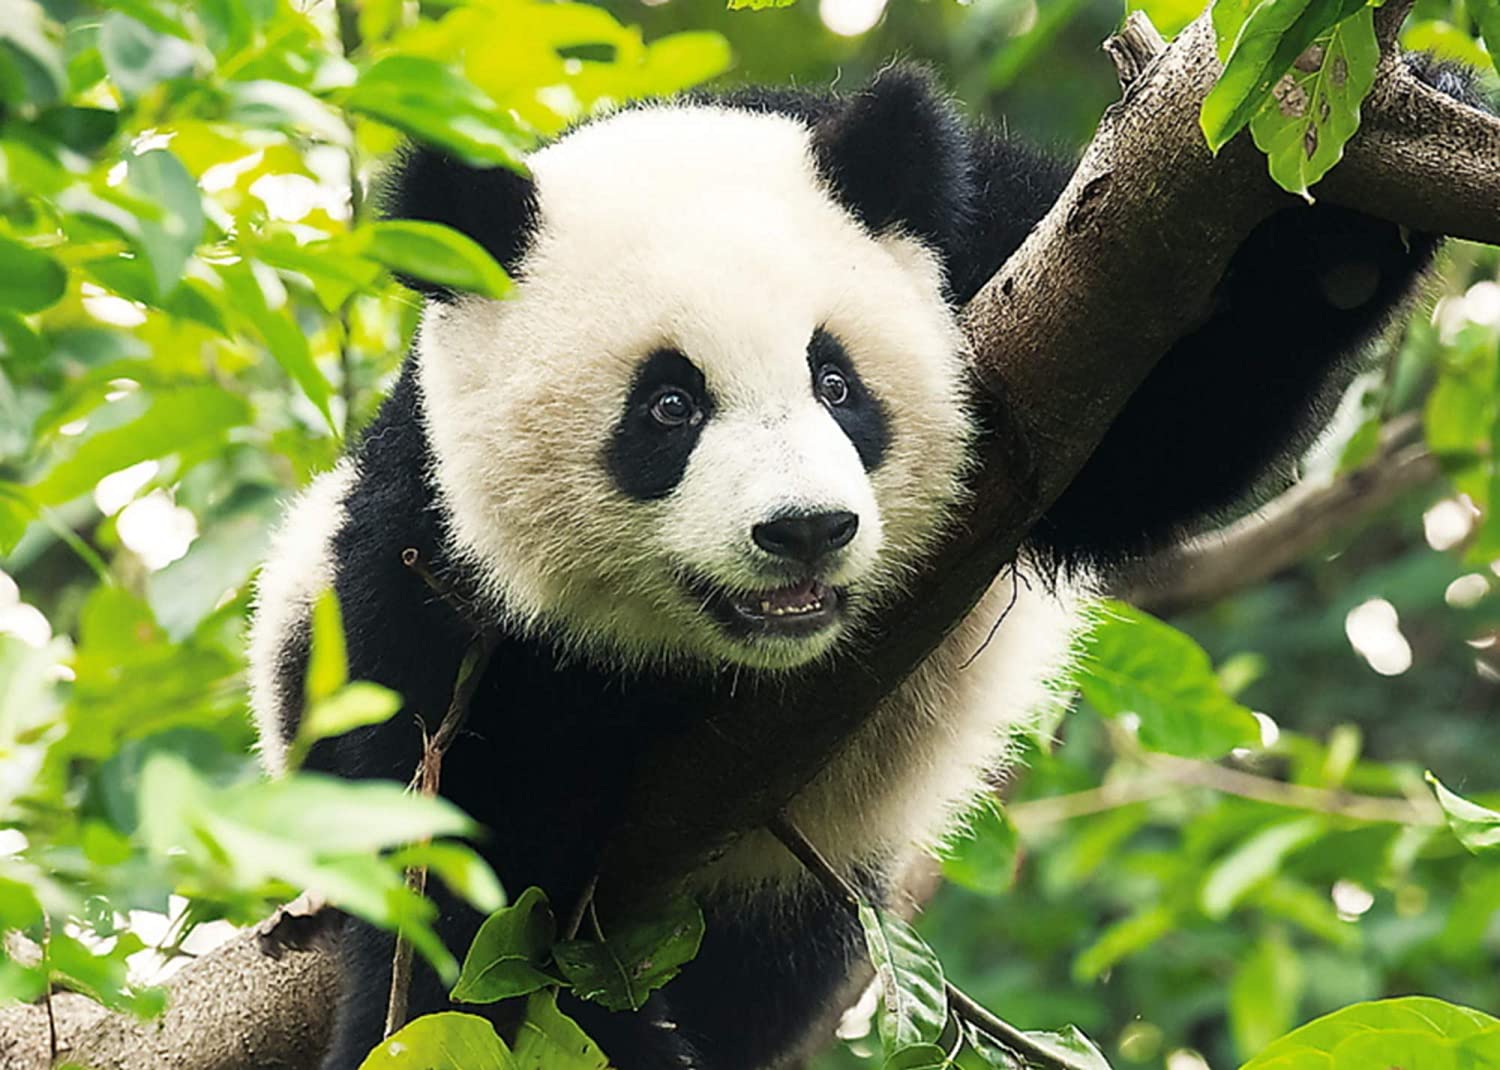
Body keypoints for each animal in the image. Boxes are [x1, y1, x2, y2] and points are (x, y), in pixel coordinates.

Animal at [249, 62, 1464, 1070]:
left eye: (837, 382)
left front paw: (1367, 175)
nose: (804, 530)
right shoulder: (429, 580)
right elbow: (469, 888)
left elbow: (1167, 425)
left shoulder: (1004, 258)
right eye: (669, 406)